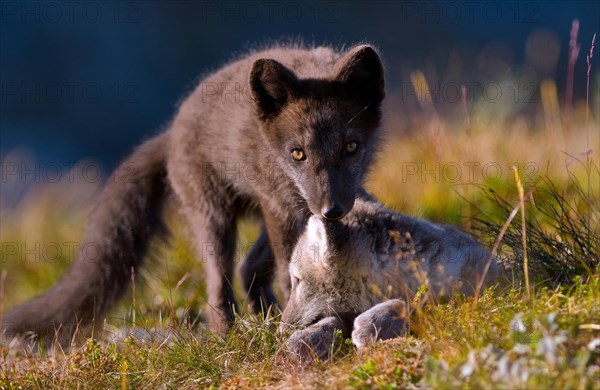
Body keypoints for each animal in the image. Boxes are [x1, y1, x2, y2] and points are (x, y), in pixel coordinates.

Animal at [3, 44, 384, 346]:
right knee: (219, 287)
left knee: (247, 269)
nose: (331, 210)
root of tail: (171, 132)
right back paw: (230, 339)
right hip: (216, 219)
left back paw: (268, 319)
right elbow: (288, 274)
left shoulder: (311, 203)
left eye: (351, 147)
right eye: (298, 153)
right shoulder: (283, 207)